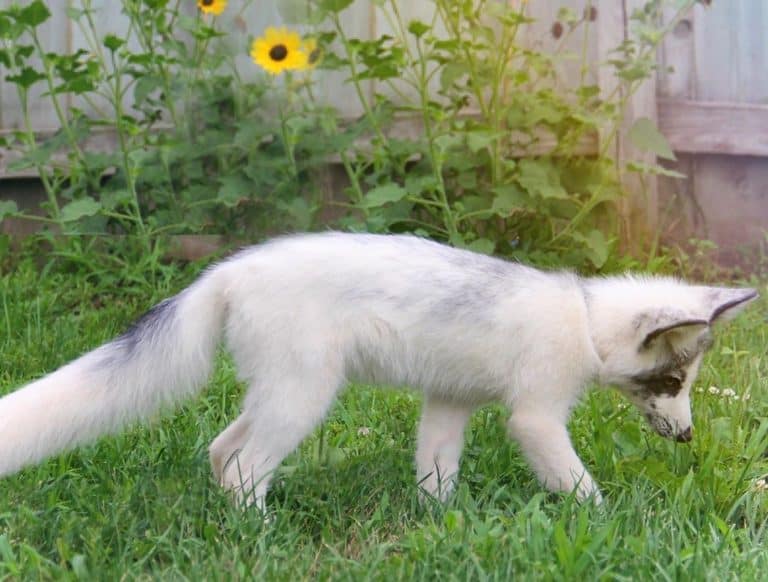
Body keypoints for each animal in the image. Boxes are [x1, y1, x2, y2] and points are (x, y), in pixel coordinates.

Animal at [0, 232, 759, 508]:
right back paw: (258, 532)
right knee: (245, 466)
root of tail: (227, 271)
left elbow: (436, 474)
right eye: (670, 383)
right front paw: (608, 519)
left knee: (221, 449)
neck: (582, 314)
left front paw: (443, 525)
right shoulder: (536, 416)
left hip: (278, 391)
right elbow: (578, 484)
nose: (688, 437)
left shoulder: (448, 402)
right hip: (304, 396)